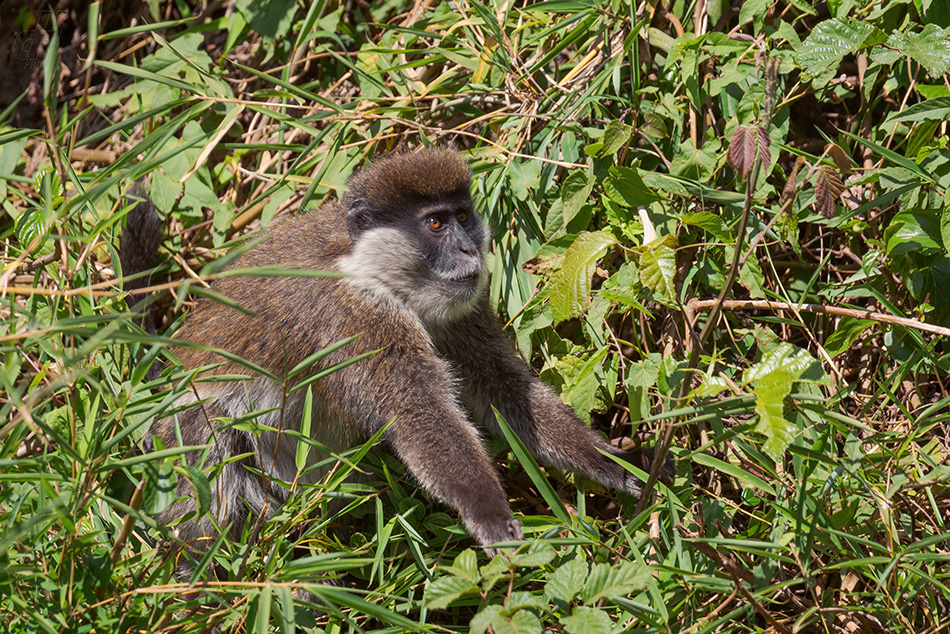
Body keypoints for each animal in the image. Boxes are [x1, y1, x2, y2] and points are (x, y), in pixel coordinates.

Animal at [126, 146, 672, 552]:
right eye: (435, 225)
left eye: (463, 216)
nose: (470, 251)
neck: (368, 266)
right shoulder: (360, 319)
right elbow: (417, 413)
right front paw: (487, 510)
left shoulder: (462, 305)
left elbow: (503, 389)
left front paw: (613, 462)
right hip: (182, 435)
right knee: (215, 464)